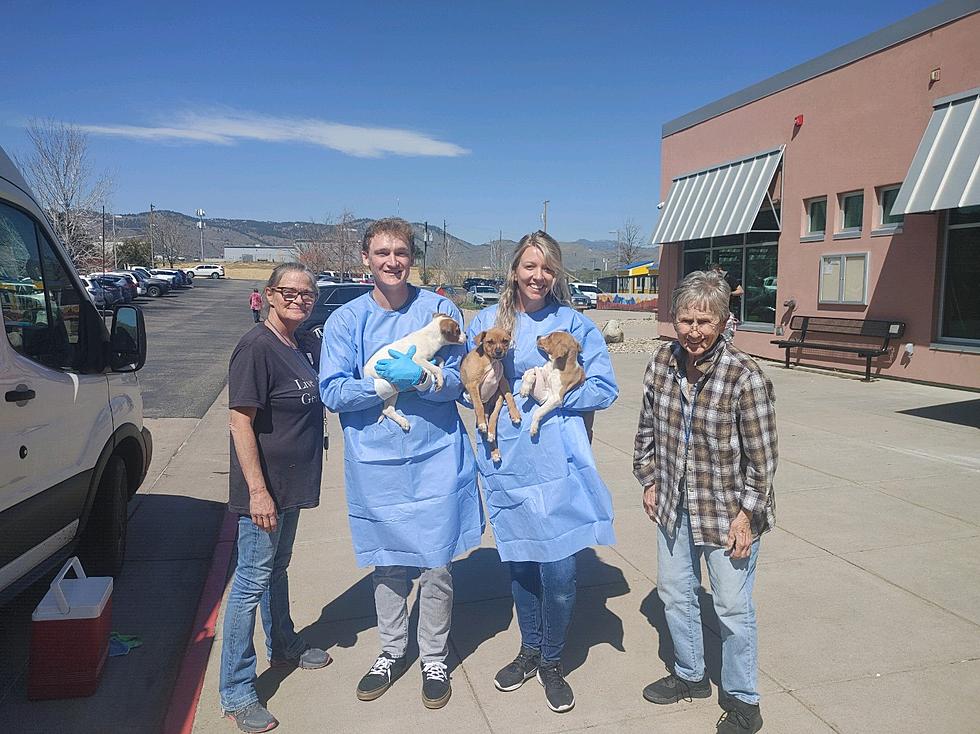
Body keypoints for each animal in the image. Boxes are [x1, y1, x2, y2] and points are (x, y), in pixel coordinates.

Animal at [460, 326, 520, 460]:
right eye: (490, 342)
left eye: (505, 341)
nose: (498, 352)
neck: (490, 361)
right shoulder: (472, 385)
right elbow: (478, 405)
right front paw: (482, 423)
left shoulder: (502, 381)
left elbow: (510, 397)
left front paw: (515, 414)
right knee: (485, 417)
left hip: (498, 398)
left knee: (493, 417)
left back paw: (492, 438)